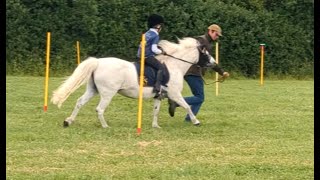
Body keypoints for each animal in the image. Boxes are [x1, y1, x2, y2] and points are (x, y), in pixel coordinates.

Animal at [51, 37, 215, 128]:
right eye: (206, 53)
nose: (214, 63)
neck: (175, 65)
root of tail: (98, 62)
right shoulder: (175, 94)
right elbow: (187, 106)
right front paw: (196, 122)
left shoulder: (159, 96)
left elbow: (156, 111)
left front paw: (155, 126)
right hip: (107, 93)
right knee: (99, 109)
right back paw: (105, 126)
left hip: (93, 90)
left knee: (79, 102)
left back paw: (68, 121)